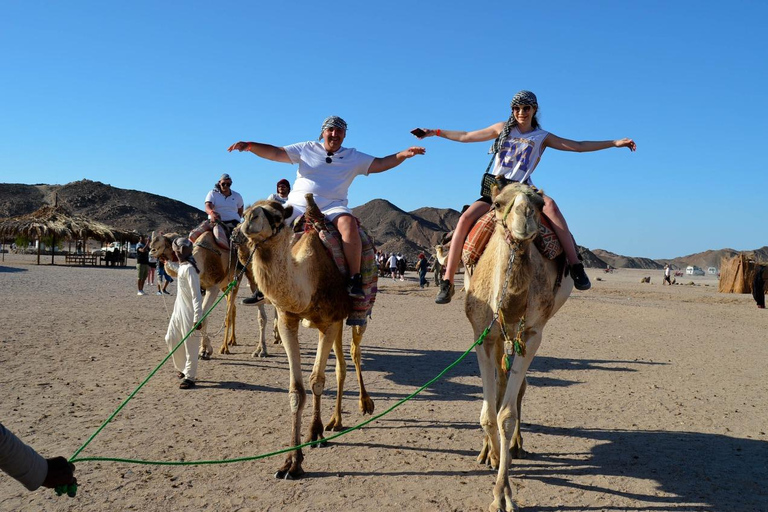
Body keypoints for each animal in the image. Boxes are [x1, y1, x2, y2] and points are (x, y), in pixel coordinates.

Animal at [150, 232, 270, 360]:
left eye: (166, 240)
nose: (151, 250)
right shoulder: (200, 287)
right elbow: (202, 316)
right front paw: (204, 349)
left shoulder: (213, 288)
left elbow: (204, 316)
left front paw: (207, 350)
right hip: (226, 285)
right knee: (233, 309)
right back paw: (232, 341)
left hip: (242, 278)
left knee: (251, 312)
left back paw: (256, 349)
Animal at [238, 196, 374, 480]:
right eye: (246, 212)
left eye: (277, 216)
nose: (248, 221)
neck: (308, 280)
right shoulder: (288, 320)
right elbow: (297, 391)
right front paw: (291, 462)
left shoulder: (330, 321)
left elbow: (316, 381)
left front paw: (314, 434)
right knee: (341, 366)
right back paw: (335, 421)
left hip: (356, 315)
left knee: (354, 353)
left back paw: (365, 404)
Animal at [462, 184, 568, 512]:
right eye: (497, 204)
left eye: (540, 203)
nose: (526, 216)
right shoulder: (482, 334)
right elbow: (488, 412)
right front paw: (494, 456)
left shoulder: (532, 334)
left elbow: (505, 415)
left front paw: (503, 493)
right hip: (498, 338)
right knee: (499, 383)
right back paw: (488, 452)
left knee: (517, 387)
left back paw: (516, 446)